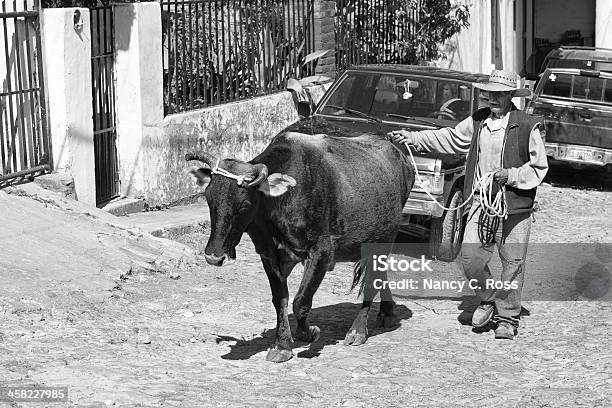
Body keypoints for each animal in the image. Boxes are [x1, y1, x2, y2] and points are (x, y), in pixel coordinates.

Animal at [185, 132, 416, 362]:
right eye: (209, 198)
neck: (279, 201)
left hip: (384, 240)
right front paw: (282, 345)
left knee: (371, 282)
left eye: (244, 204)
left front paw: (309, 332)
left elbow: (301, 301)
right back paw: (387, 313)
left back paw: (358, 330)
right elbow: (280, 299)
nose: (214, 257)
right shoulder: (268, 255)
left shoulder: (321, 252)